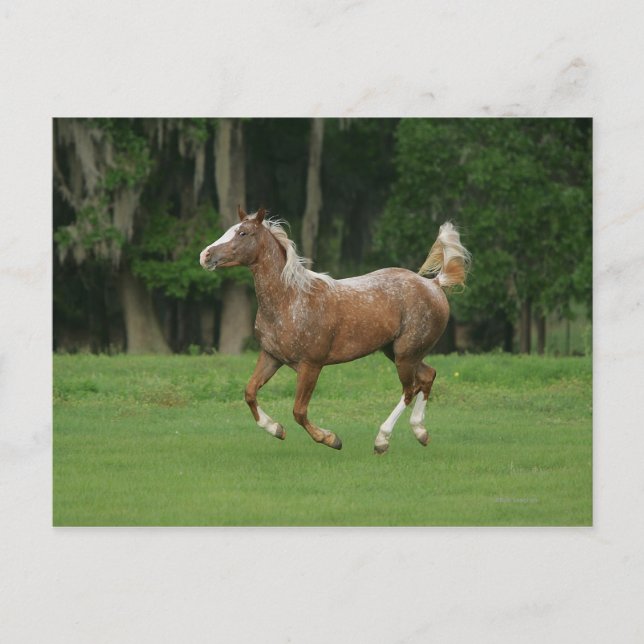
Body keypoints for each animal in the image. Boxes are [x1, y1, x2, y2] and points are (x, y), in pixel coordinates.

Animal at [200, 206, 470, 454]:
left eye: (243, 233)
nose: (205, 255)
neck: (290, 300)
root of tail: (434, 284)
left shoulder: (311, 365)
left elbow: (299, 411)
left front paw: (331, 439)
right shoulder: (271, 357)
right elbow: (250, 392)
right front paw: (276, 429)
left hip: (405, 354)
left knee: (409, 389)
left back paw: (382, 440)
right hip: (398, 352)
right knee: (427, 376)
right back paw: (420, 432)